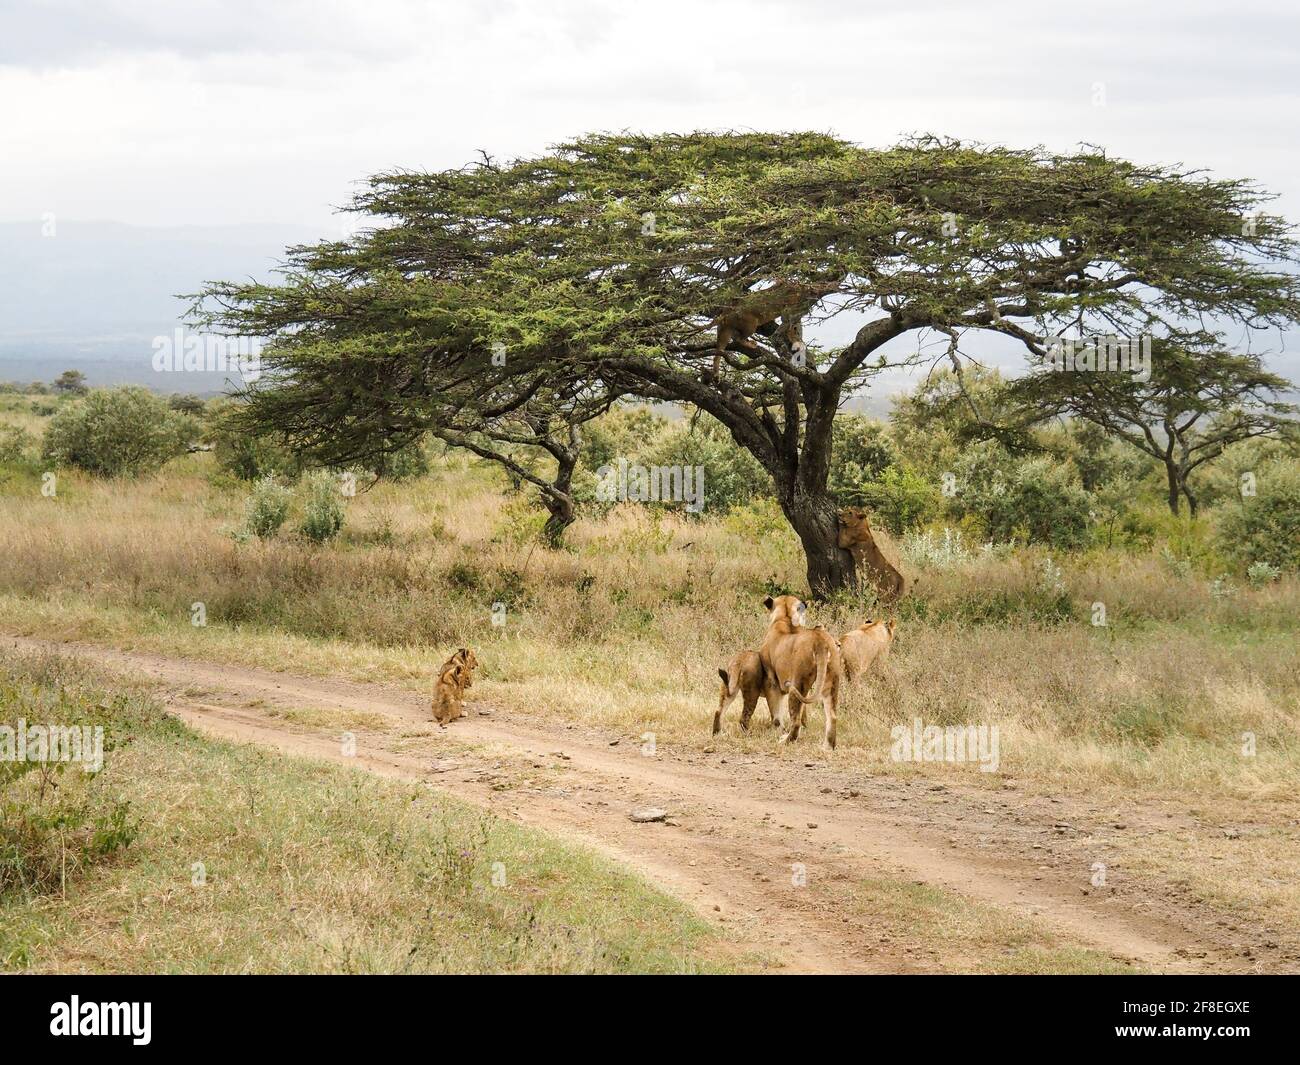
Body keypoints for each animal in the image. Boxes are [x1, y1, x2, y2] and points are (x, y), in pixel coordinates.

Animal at [759, 595, 843, 749]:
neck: (785, 618)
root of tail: (820, 640)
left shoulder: (771, 680)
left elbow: (775, 713)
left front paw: (776, 731)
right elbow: (804, 711)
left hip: (796, 683)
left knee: (795, 721)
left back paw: (785, 740)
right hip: (831, 681)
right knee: (832, 716)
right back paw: (827, 747)